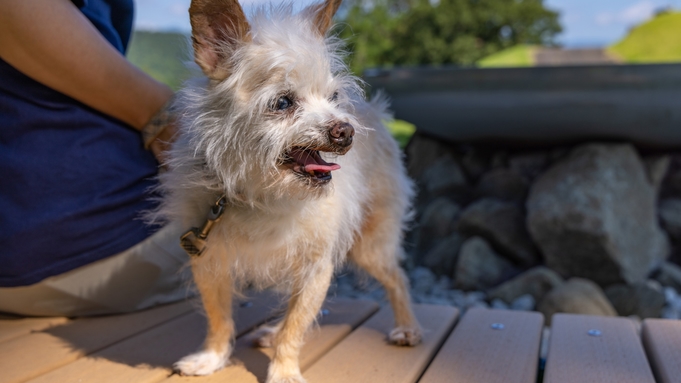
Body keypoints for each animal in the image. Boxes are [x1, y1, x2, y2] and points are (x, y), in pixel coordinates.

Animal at [157, 1, 420, 382]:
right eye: (283, 103)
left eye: (333, 97)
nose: (347, 131)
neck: (263, 194)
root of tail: (375, 111)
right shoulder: (208, 261)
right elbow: (219, 318)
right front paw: (212, 358)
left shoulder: (316, 267)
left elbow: (295, 327)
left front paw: (283, 371)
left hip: (371, 245)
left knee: (397, 277)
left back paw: (407, 328)